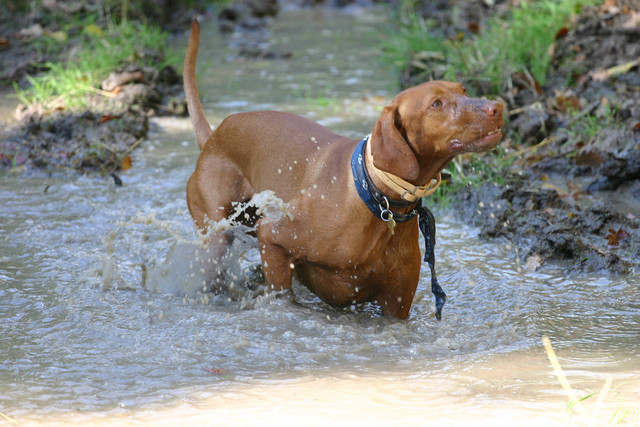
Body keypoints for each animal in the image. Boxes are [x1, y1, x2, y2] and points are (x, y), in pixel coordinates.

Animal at [182, 20, 502, 320]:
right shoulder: (273, 239)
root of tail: (212, 137)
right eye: (436, 104)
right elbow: (283, 297)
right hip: (216, 238)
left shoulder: (397, 305)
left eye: (464, 90)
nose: (497, 107)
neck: (376, 199)